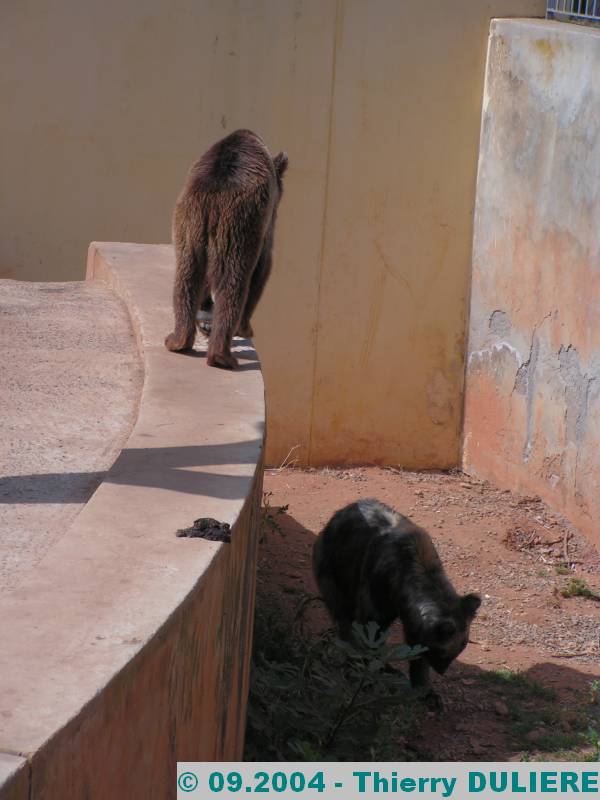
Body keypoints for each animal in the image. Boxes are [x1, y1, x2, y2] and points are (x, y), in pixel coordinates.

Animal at [163, 130, 288, 370]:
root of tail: (215, 191)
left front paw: (205, 317)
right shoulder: (265, 220)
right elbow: (263, 267)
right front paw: (245, 327)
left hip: (189, 221)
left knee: (187, 275)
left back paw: (178, 340)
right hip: (239, 224)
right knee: (234, 281)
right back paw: (222, 356)